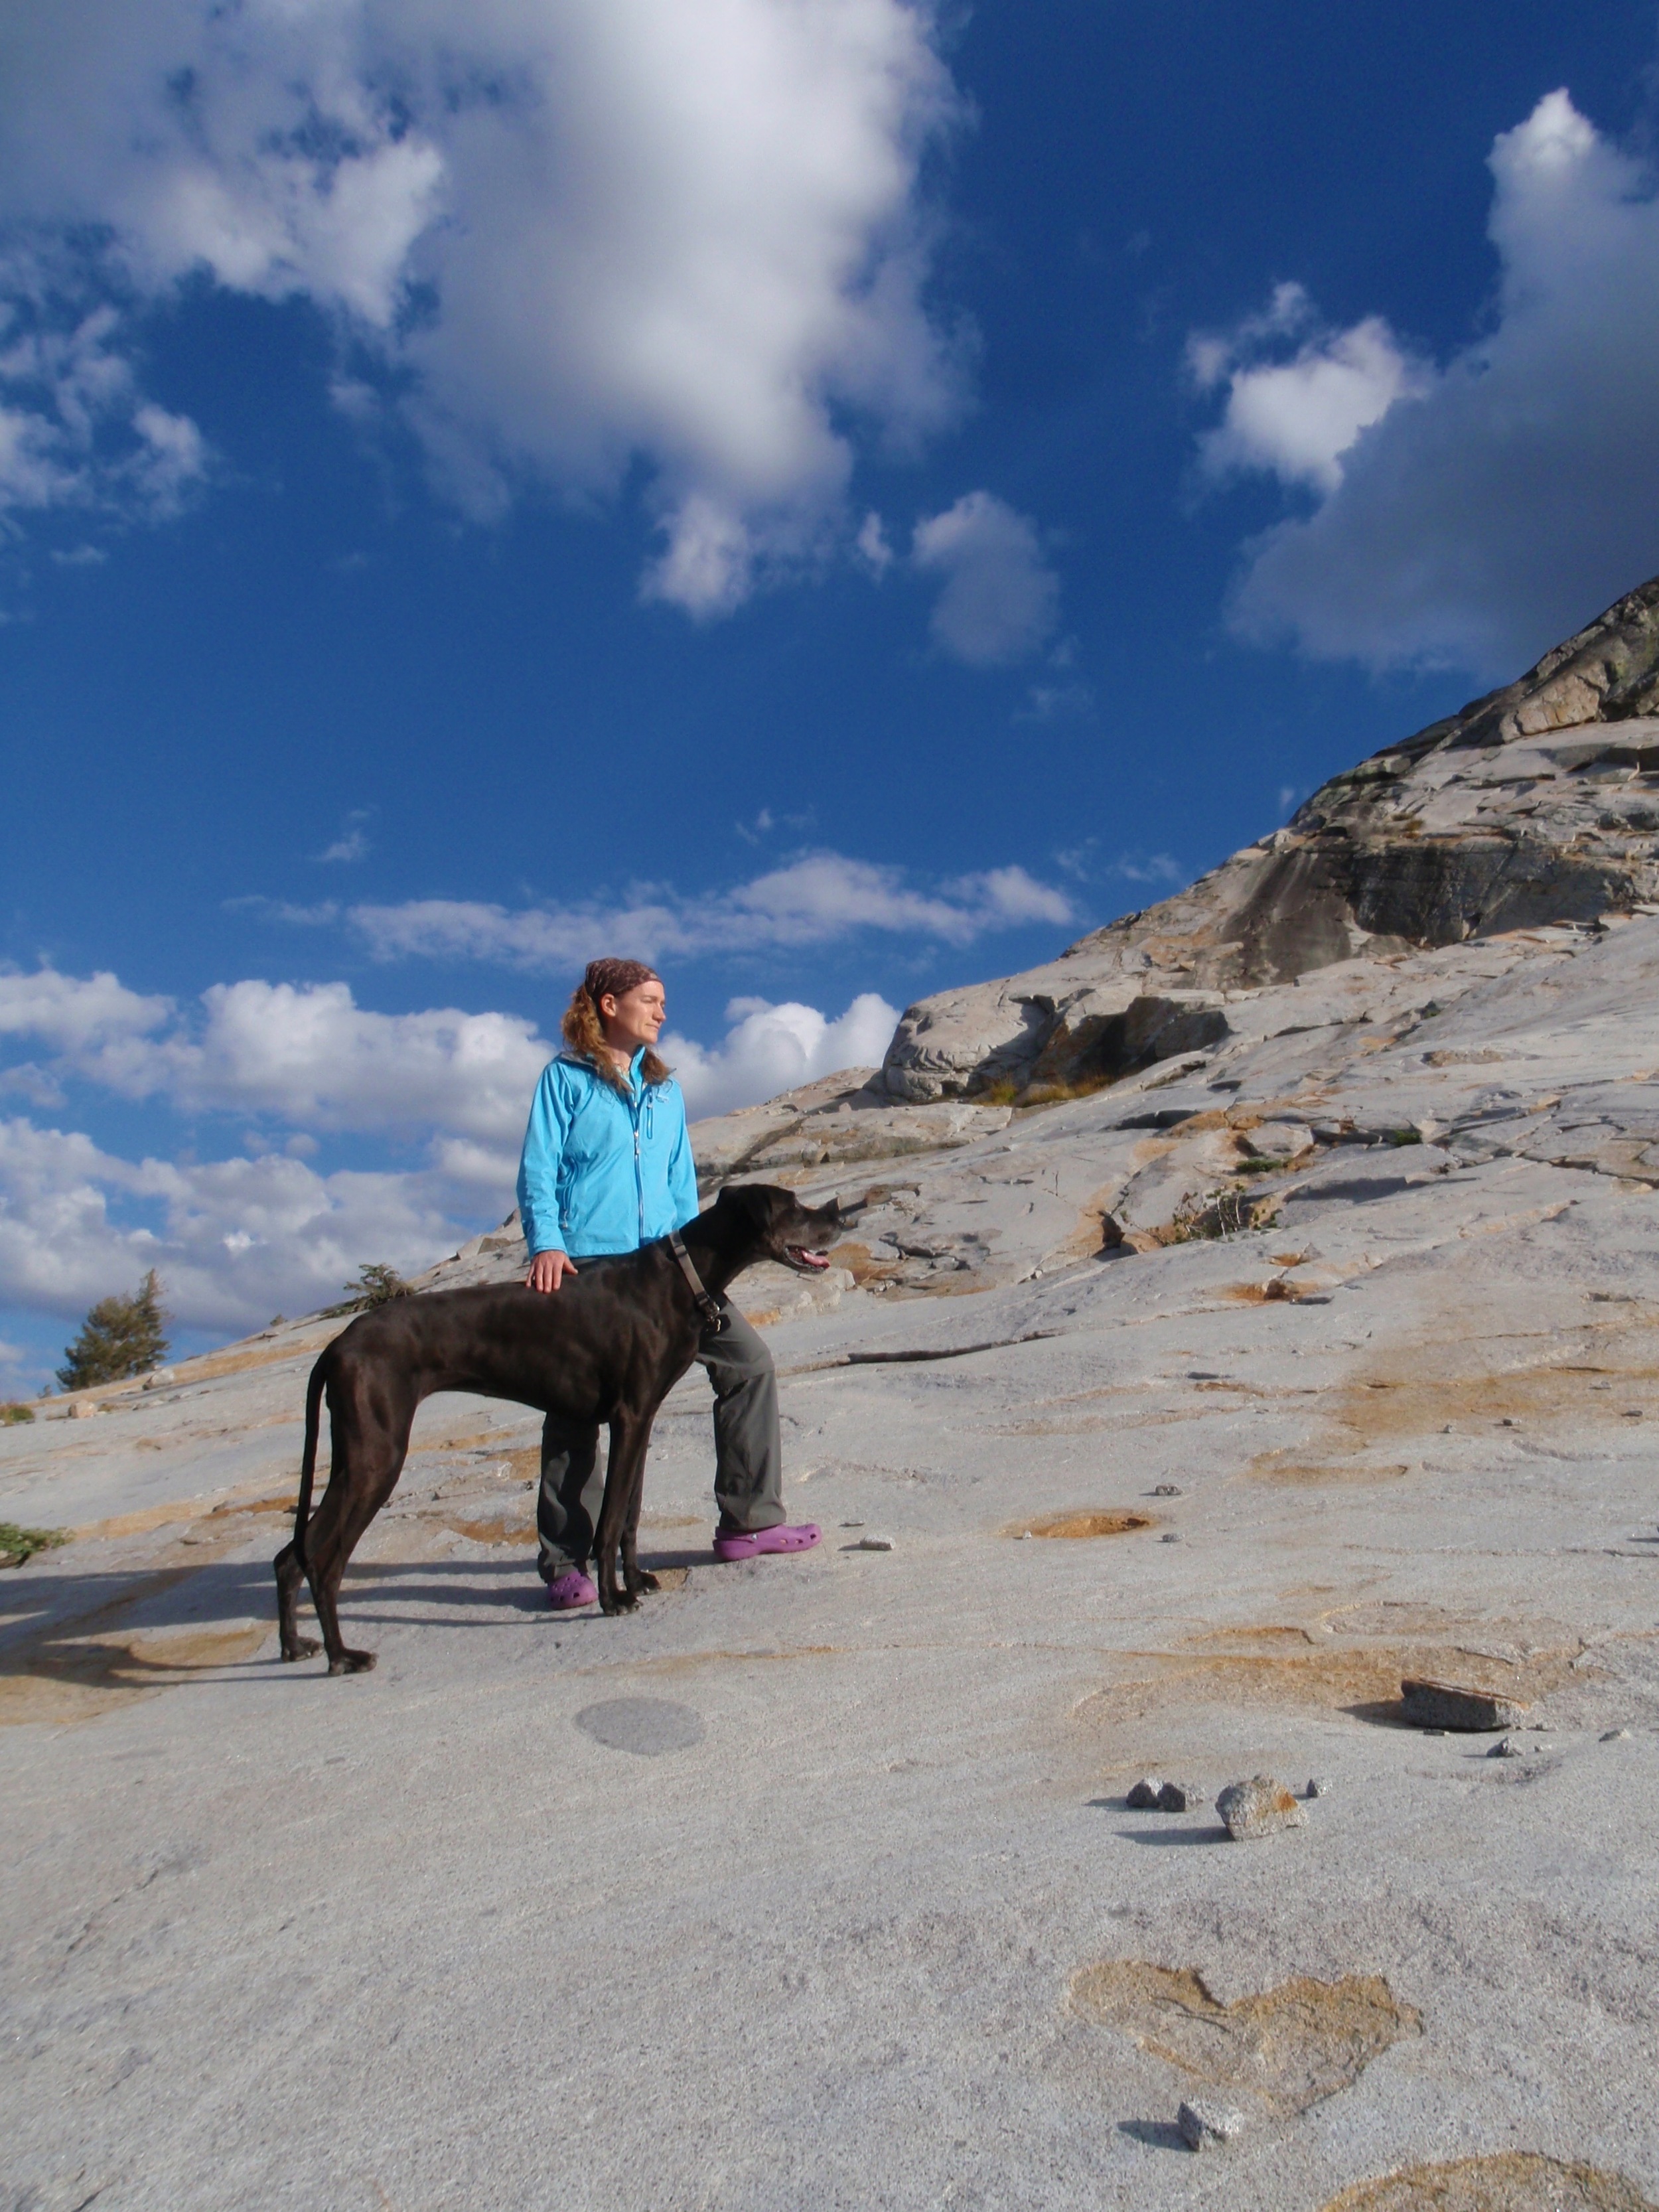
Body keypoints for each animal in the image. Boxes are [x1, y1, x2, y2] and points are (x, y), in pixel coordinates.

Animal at [279, 1185, 845, 1663]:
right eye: (794, 1206)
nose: (839, 1216)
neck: (683, 1276)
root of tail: (337, 1344)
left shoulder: (643, 1420)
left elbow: (631, 1516)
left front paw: (636, 1581)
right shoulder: (629, 1416)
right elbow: (610, 1519)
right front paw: (614, 1599)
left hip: (355, 1455)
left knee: (291, 1556)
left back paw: (296, 1646)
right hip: (376, 1456)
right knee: (323, 1559)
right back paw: (342, 1656)